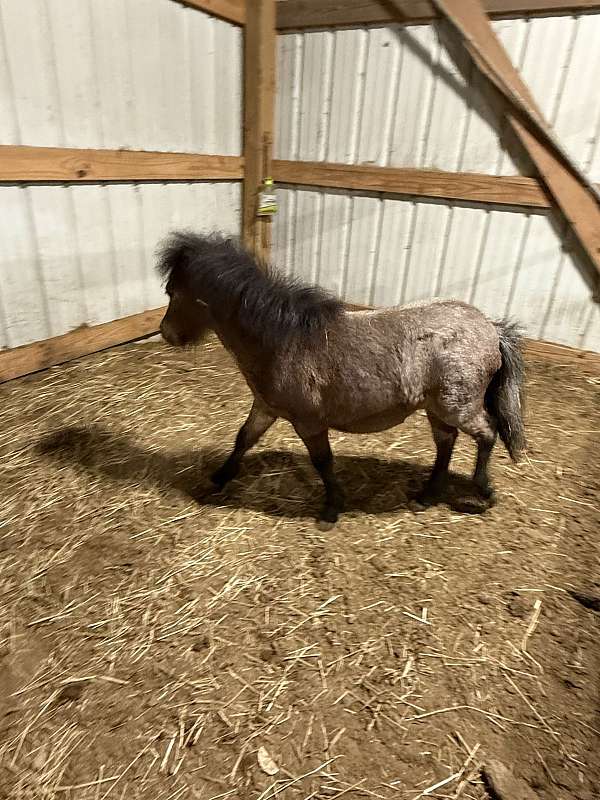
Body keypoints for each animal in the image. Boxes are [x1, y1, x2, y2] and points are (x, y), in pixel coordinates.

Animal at [157, 231, 526, 528]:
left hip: (457, 406)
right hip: (436, 408)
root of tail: (491, 328)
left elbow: (323, 462)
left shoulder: (308, 422)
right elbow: (243, 439)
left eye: (174, 292)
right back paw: (427, 496)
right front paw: (217, 480)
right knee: (446, 444)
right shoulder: (265, 407)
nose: (166, 333)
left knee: (487, 434)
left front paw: (331, 510)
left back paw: (482, 493)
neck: (282, 340)